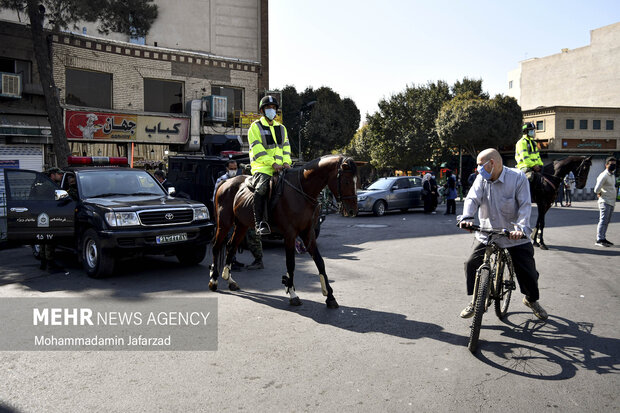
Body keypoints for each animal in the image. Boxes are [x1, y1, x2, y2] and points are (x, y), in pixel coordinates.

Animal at [209, 154, 358, 306]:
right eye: (346, 181)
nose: (353, 211)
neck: (302, 190)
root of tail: (225, 182)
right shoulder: (290, 234)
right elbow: (290, 263)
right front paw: (292, 292)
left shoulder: (307, 233)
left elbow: (320, 262)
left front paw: (330, 296)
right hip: (224, 224)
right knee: (216, 246)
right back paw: (214, 280)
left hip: (241, 225)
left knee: (231, 246)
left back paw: (229, 279)